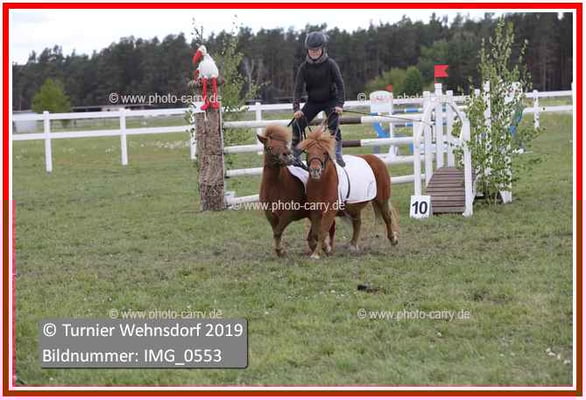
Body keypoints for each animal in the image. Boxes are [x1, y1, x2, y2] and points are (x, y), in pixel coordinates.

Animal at [257, 124, 335, 257]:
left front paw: (280, 250)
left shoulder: (288, 215)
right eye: (269, 147)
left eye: (285, 144)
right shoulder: (270, 215)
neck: (275, 186)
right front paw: (279, 250)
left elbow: (278, 231)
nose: (287, 155)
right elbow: (276, 232)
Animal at [297, 127, 399, 259]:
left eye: (324, 152)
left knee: (387, 217)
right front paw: (325, 248)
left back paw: (393, 239)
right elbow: (314, 234)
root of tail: (377, 159)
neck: (322, 183)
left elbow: (322, 231)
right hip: (355, 206)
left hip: (382, 199)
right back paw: (353, 244)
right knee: (358, 222)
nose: (315, 170)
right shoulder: (315, 211)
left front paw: (316, 254)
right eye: (308, 152)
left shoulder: (330, 211)